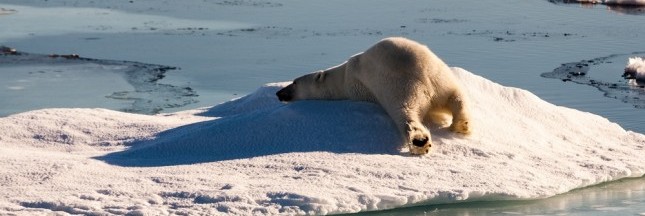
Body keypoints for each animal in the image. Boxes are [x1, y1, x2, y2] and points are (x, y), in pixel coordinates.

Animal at [274, 37, 470, 155]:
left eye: (294, 82)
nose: (279, 93)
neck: (342, 75)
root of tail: (422, 75)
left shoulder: (357, 86)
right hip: (440, 75)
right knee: (456, 96)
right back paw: (462, 124)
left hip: (398, 85)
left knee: (404, 111)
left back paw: (419, 141)